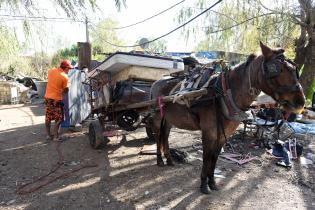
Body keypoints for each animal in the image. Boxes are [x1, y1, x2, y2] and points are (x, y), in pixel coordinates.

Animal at [149, 41, 308, 194]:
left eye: (294, 70)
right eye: (275, 69)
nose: (301, 102)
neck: (222, 95)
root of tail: (156, 82)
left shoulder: (223, 135)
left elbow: (214, 158)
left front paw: (212, 182)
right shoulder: (209, 133)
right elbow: (206, 158)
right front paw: (203, 184)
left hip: (169, 118)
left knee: (165, 135)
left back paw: (169, 159)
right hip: (157, 117)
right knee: (158, 135)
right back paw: (159, 160)